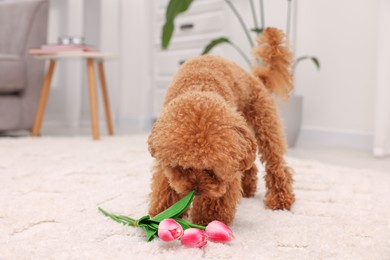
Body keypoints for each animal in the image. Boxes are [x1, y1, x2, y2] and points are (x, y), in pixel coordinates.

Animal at [148, 27, 294, 224]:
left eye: (212, 170)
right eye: (184, 167)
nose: (197, 190)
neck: (201, 87)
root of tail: (256, 77)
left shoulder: (227, 173)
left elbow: (219, 197)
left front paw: (208, 222)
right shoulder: (165, 163)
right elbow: (166, 187)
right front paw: (162, 215)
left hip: (265, 124)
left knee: (276, 164)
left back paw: (280, 200)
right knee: (250, 166)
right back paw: (248, 190)